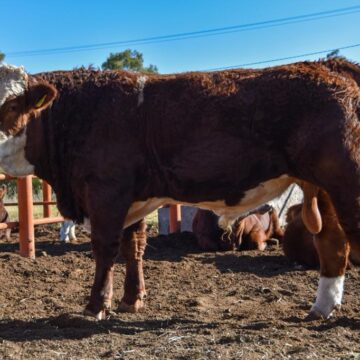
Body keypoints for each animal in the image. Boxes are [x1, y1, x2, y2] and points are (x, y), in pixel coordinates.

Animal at [0, 57, 360, 320]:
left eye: (11, 106)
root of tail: (328, 65)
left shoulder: (106, 192)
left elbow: (105, 248)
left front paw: (96, 306)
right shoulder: (133, 200)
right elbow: (134, 247)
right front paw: (132, 300)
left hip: (346, 182)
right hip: (324, 188)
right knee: (331, 243)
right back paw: (321, 308)